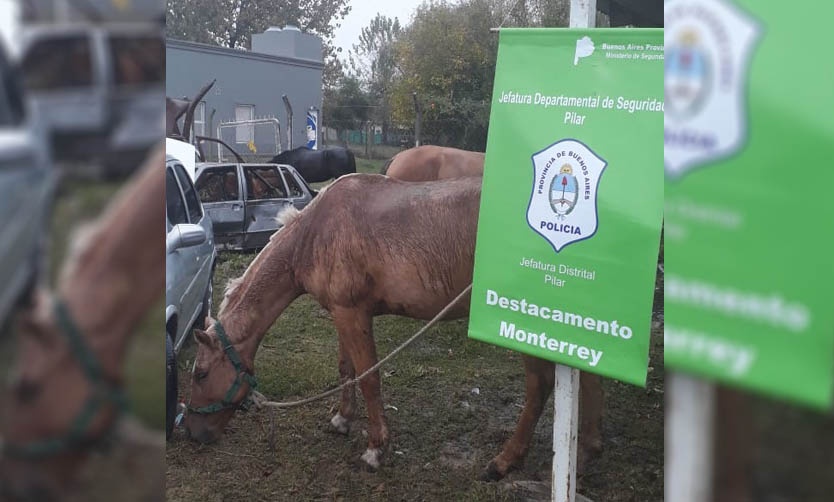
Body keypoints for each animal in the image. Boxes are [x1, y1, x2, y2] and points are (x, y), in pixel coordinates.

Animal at [184, 173, 600, 478]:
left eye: (201, 374)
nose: (192, 435)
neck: (314, 231)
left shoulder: (353, 313)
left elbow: (369, 377)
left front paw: (375, 450)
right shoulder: (342, 312)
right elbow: (347, 369)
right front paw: (341, 419)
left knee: (540, 385)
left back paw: (505, 460)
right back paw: (585, 453)